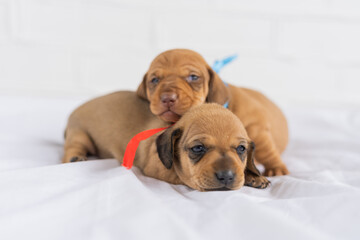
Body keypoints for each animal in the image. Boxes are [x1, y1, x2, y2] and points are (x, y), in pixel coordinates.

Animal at [63, 92, 268, 191]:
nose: (227, 176)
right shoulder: (159, 169)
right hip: (79, 133)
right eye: (198, 148)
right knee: (72, 147)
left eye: (241, 148)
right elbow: (183, 176)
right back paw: (75, 157)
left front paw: (254, 176)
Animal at [137, 48, 290, 176]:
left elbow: (266, 150)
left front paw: (276, 168)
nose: (168, 98)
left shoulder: (256, 127)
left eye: (193, 77)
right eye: (154, 80)